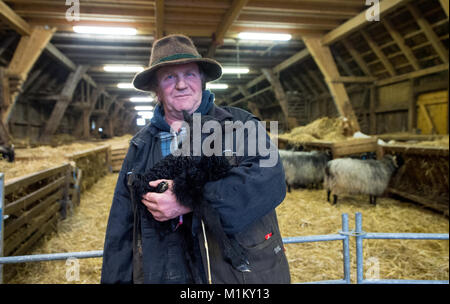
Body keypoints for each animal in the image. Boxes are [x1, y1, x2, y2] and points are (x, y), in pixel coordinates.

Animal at [128, 111, 251, 274]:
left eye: (212, 133)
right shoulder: (185, 187)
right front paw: (235, 257)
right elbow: (212, 214)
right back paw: (161, 187)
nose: (192, 153)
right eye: (190, 132)